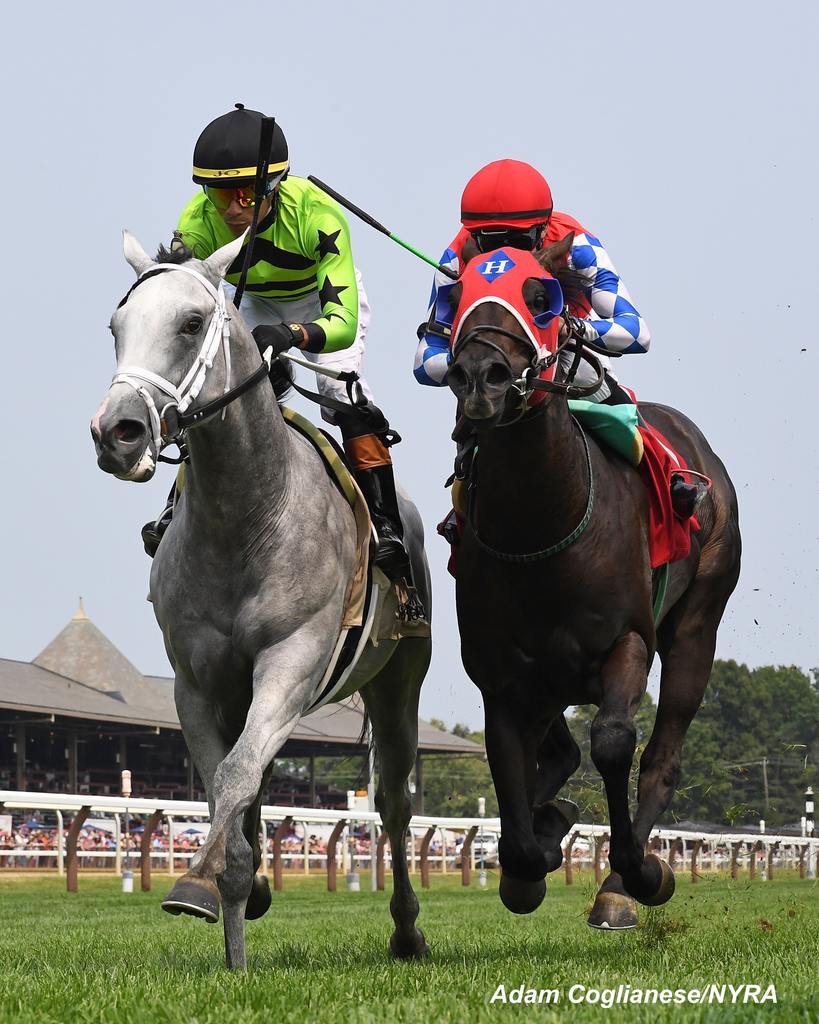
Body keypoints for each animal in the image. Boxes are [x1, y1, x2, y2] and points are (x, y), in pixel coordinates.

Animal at [92, 232, 432, 966]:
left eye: (192, 323)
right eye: (116, 326)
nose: (117, 432)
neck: (246, 516)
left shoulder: (291, 662)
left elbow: (235, 774)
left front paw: (204, 883)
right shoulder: (197, 683)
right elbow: (227, 778)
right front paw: (230, 906)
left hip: (398, 680)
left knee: (393, 802)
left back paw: (406, 930)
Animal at [444, 237, 737, 929]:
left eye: (542, 296)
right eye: (458, 290)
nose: (479, 376)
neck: (543, 527)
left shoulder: (626, 641)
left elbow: (612, 740)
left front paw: (637, 871)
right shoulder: (501, 672)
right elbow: (512, 777)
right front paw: (536, 849)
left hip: (698, 623)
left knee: (660, 756)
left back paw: (623, 882)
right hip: (550, 678)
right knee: (557, 756)